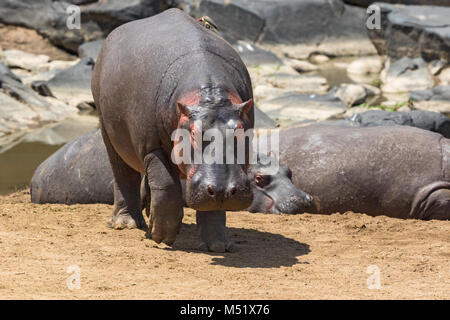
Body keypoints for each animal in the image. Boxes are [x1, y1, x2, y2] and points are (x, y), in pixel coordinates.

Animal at [92, 8, 256, 250]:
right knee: (124, 175)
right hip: (109, 132)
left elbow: (211, 207)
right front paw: (162, 237)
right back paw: (126, 224)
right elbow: (166, 187)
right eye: (194, 134)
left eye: (239, 133)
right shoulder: (151, 147)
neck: (210, 96)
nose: (224, 190)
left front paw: (218, 246)